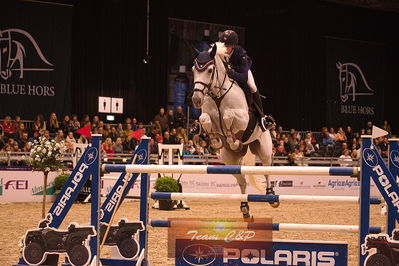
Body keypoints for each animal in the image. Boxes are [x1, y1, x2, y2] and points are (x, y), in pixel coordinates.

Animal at [192, 42, 280, 218]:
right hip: (229, 160)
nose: (196, 100)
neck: (218, 95)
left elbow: (228, 115)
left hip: (264, 149)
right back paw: (245, 208)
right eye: (193, 70)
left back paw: (271, 196)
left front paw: (232, 139)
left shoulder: (244, 119)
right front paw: (216, 140)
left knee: (266, 169)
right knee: (242, 180)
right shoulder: (206, 116)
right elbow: (205, 119)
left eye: (209, 70)